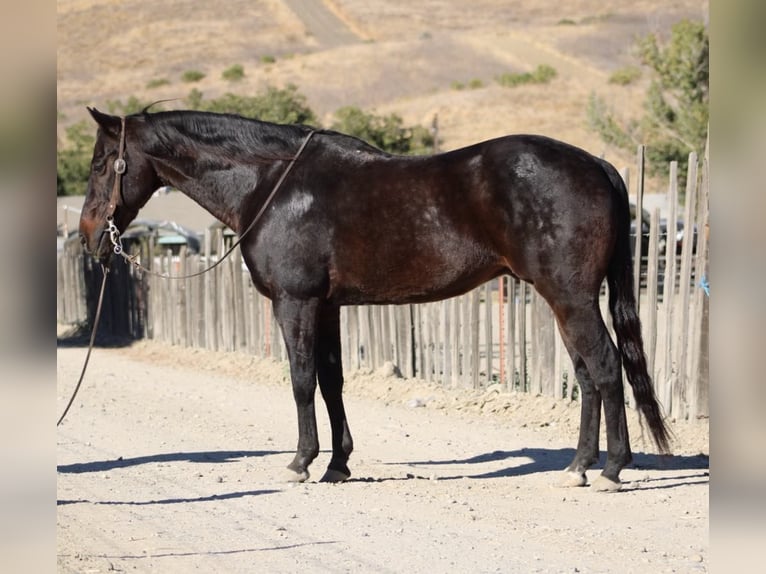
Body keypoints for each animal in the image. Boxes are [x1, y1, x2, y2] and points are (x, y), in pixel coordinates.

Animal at [79, 107, 672, 490]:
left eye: (101, 163)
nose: (88, 237)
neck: (272, 185)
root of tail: (599, 166)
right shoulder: (327, 307)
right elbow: (332, 381)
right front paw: (337, 465)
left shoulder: (295, 302)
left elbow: (301, 381)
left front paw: (301, 463)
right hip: (562, 301)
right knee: (587, 375)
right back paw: (579, 466)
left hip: (571, 297)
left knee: (605, 367)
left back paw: (613, 469)